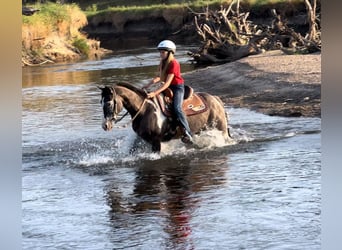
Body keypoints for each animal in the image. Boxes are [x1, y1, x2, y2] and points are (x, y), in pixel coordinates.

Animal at [100, 82, 231, 152]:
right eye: (101, 102)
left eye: (109, 103)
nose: (105, 125)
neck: (144, 110)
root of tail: (215, 99)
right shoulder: (142, 139)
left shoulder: (156, 141)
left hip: (221, 129)